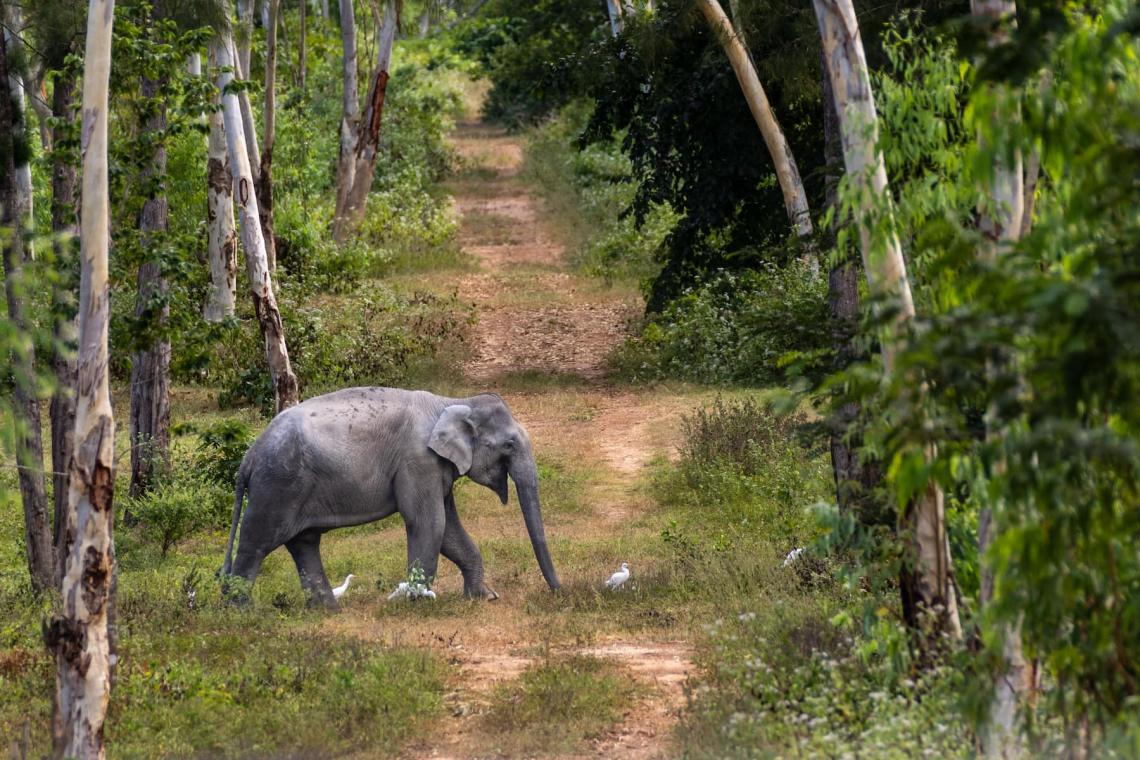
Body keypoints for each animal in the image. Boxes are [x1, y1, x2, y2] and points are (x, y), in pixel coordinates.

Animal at [221, 387, 561, 607]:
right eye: (509, 445)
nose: (559, 593)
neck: (452, 403)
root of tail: (248, 457)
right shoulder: (418, 461)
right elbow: (429, 523)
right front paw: (417, 603)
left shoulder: (436, 467)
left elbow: (448, 529)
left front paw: (483, 598)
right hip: (276, 486)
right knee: (256, 543)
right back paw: (239, 614)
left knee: (304, 543)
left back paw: (328, 611)